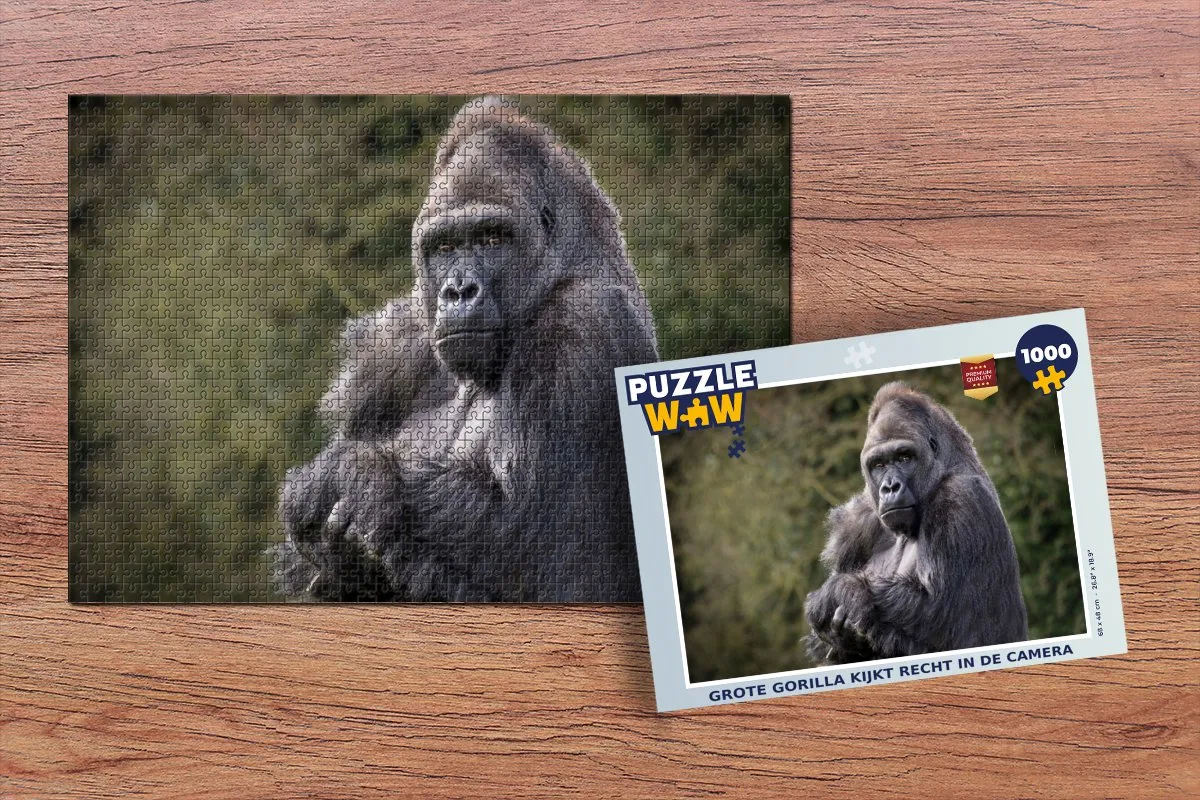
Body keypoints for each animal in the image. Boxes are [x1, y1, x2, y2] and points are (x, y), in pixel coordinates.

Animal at [273, 97, 659, 601]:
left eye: (493, 238)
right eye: (444, 247)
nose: (458, 291)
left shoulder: (586, 323)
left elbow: (541, 546)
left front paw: (350, 477)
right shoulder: (392, 349)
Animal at [804, 382, 1028, 663]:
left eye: (904, 457)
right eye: (879, 464)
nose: (890, 487)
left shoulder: (960, 498)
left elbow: (941, 612)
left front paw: (836, 593)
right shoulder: (856, 523)